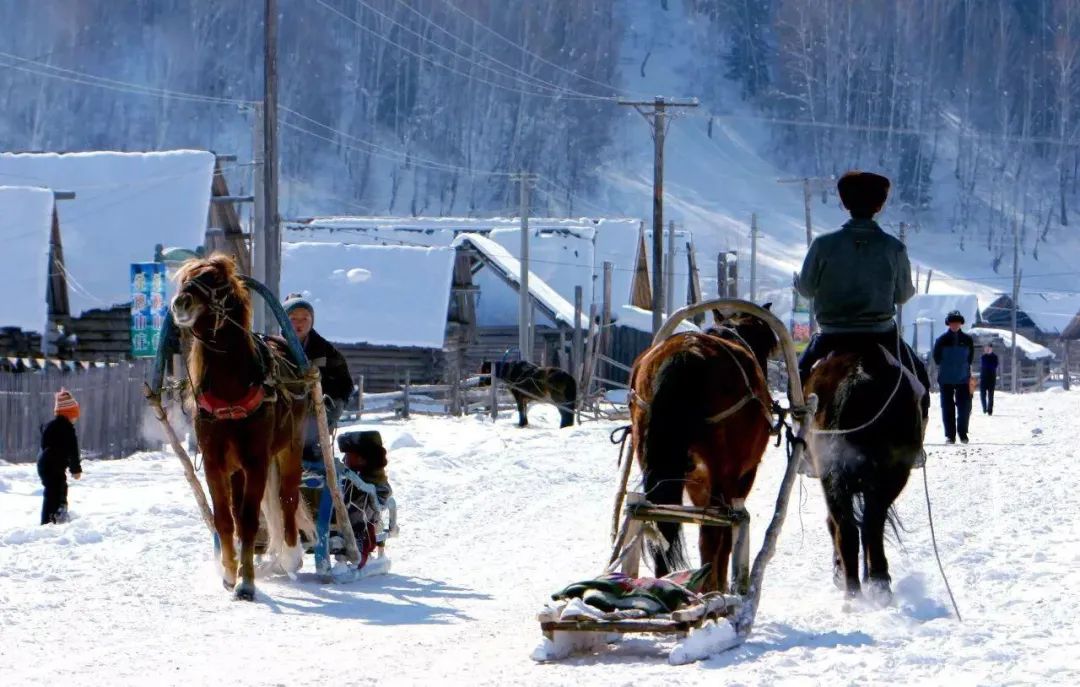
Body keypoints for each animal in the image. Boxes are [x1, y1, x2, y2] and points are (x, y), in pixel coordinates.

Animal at [169, 254, 313, 600]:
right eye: (185, 279)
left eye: (216, 281)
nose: (181, 302)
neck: (230, 390)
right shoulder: (215, 462)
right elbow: (225, 520)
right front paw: (228, 571)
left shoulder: (256, 460)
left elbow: (249, 521)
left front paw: (247, 583)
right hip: (236, 468)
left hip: (290, 447)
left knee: (287, 498)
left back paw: (291, 555)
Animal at [630, 308, 781, 591]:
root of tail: (687, 353)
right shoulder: (741, 477)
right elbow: (724, 533)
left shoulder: (696, 480)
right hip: (724, 472)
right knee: (713, 529)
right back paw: (711, 587)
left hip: (654, 461)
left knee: (660, 518)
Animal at [807, 339, 924, 600]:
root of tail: (856, 376)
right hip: (888, 476)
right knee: (870, 523)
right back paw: (878, 582)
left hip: (831, 474)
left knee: (845, 526)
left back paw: (852, 588)